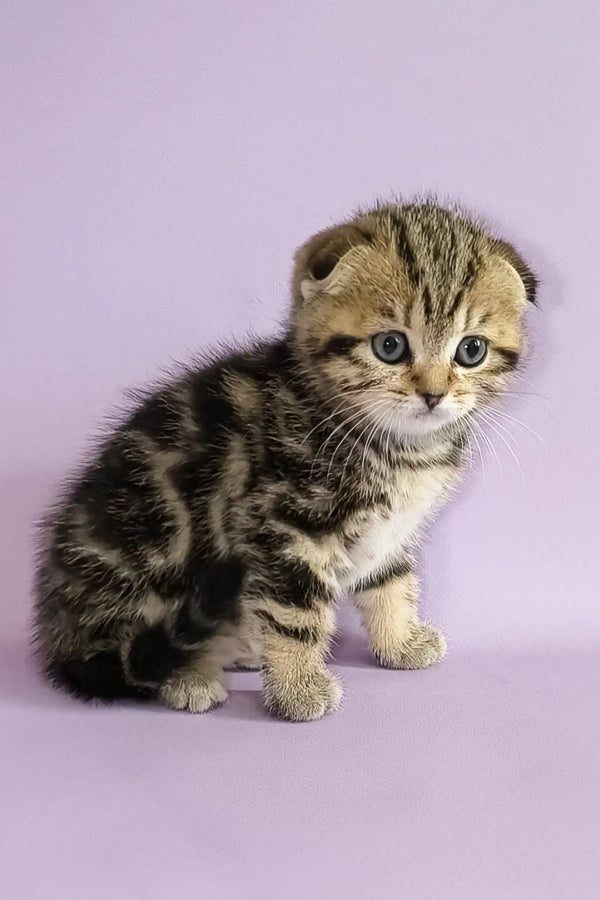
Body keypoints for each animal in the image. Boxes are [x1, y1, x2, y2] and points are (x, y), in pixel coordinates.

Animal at [31, 200, 536, 720]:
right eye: (390, 346)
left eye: (471, 350)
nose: (434, 395)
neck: (399, 448)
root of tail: (58, 627)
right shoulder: (283, 521)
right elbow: (295, 612)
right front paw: (298, 690)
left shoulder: (391, 529)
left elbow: (389, 581)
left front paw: (400, 644)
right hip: (149, 543)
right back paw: (191, 677)